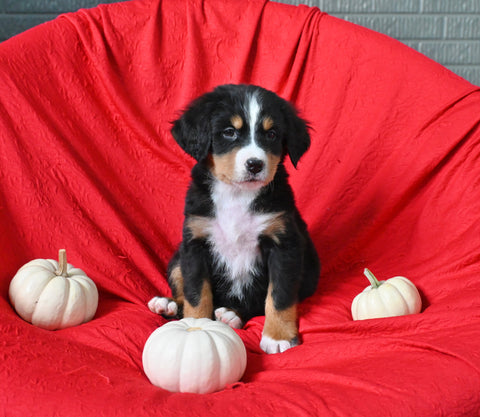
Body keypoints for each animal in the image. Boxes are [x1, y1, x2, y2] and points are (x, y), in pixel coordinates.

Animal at [149, 83, 322, 352]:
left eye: (272, 134)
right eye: (229, 132)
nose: (255, 164)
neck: (236, 194)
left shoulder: (284, 245)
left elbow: (279, 297)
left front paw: (278, 336)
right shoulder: (196, 243)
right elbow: (196, 293)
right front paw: (195, 326)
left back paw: (232, 314)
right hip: (178, 256)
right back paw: (167, 303)